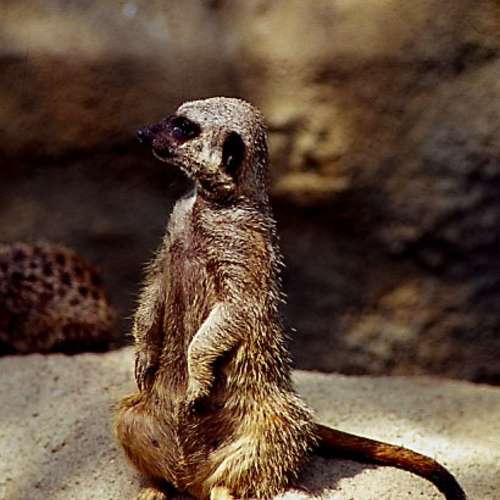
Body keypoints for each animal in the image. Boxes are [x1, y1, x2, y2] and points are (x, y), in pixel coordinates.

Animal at [114, 97, 466, 500]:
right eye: (175, 116)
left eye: (183, 126)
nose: (142, 132)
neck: (212, 203)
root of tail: (194, 475)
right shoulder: (171, 237)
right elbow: (155, 287)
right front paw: (143, 355)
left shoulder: (242, 250)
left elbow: (236, 307)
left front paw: (197, 375)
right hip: (139, 415)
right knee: (133, 427)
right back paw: (156, 486)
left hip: (270, 418)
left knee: (250, 461)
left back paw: (221, 489)